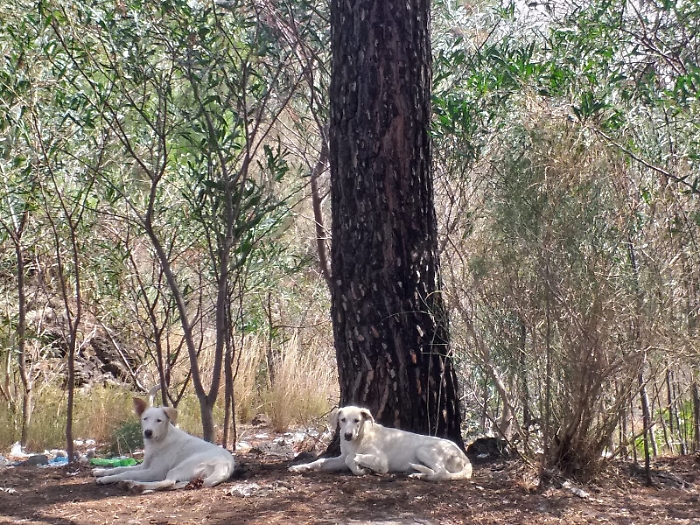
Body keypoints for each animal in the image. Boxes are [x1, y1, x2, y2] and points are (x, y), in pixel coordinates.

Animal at [92, 396, 235, 491]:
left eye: (159, 420)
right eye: (145, 419)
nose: (148, 432)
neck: (159, 442)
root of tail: (225, 465)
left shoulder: (155, 471)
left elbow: (126, 472)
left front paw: (105, 479)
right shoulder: (144, 466)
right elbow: (120, 468)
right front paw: (100, 471)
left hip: (182, 466)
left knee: (168, 482)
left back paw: (136, 484)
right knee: (175, 484)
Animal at [289, 405, 472, 481]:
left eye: (357, 420)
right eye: (343, 420)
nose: (347, 435)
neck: (360, 438)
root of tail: (465, 458)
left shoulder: (381, 461)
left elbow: (352, 458)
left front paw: (361, 470)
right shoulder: (340, 458)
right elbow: (321, 461)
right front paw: (300, 467)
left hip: (423, 450)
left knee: (441, 472)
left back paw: (421, 475)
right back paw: (418, 473)